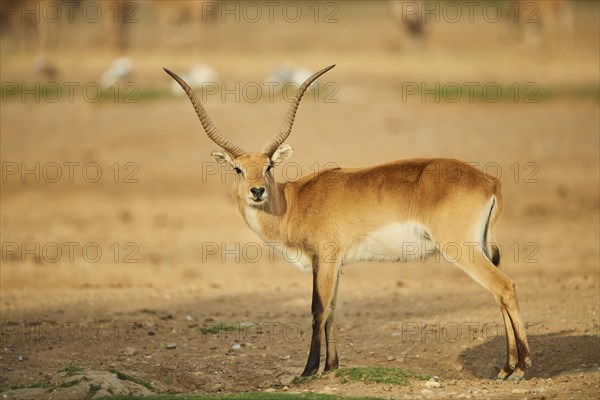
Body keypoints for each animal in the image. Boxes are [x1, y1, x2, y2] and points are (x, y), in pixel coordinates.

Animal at [162, 65, 532, 382]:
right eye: (239, 169)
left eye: (268, 166)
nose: (257, 191)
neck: (295, 202)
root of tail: (490, 180)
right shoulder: (336, 263)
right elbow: (333, 310)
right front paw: (332, 367)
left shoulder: (324, 258)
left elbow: (317, 308)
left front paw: (307, 371)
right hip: (478, 246)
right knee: (499, 293)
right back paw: (505, 368)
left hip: (460, 249)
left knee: (504, 287)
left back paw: (521, 367)